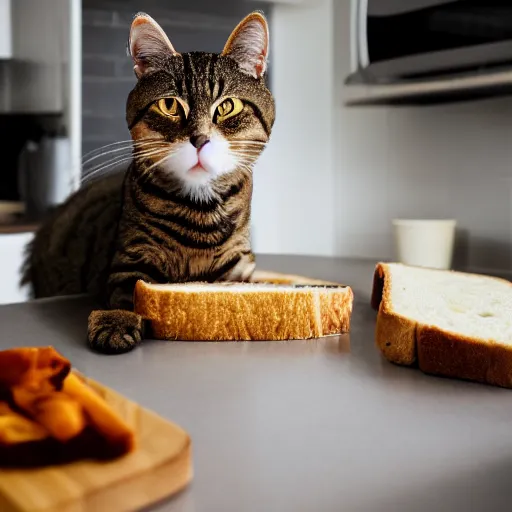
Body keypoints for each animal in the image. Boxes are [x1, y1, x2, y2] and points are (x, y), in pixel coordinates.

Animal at [20, 13, 276, 356]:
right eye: (169, 105)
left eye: (227, 107)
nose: (200, 139)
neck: (200, 215)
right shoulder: (127, 260)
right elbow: (128, 291)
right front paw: (115, 322)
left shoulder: (238, 267)